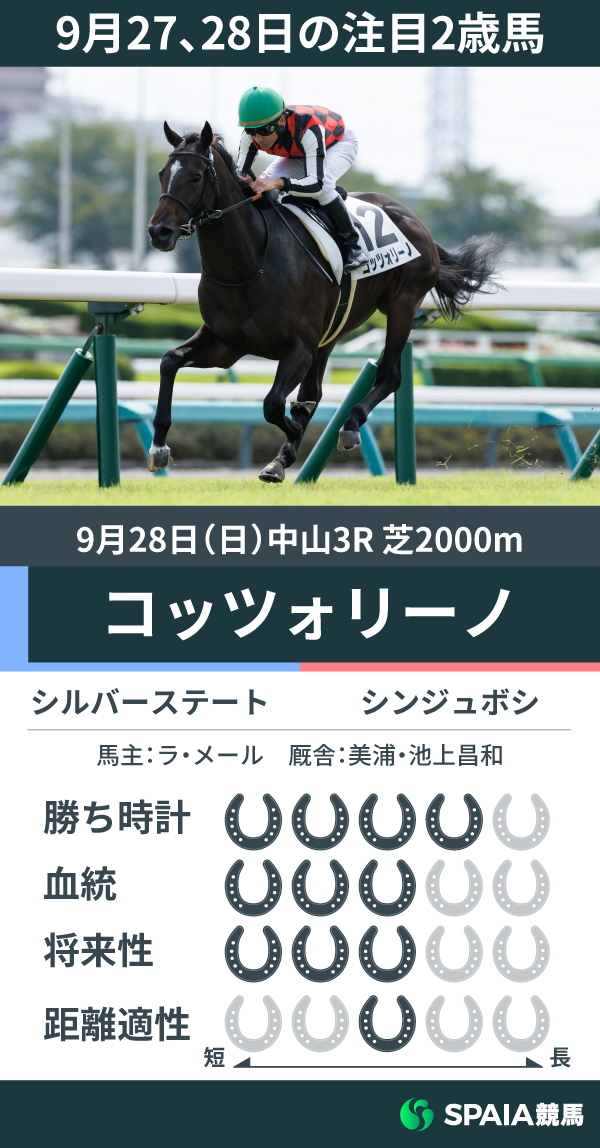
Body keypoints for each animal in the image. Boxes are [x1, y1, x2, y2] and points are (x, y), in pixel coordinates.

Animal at [147, 120, 499, 482]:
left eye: (195, 177)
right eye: (162, 173)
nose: (159, 231)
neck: (249, 263)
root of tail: (415, 220)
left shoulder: (299, 344)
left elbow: (273, 404)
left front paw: (293, 429)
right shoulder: (226, 344)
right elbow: (169, 362)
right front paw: (159, 447)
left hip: (402, 304)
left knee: (389, 375)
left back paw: (350, 425)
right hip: (333, 328)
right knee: (314, 390)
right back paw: (284, 454)